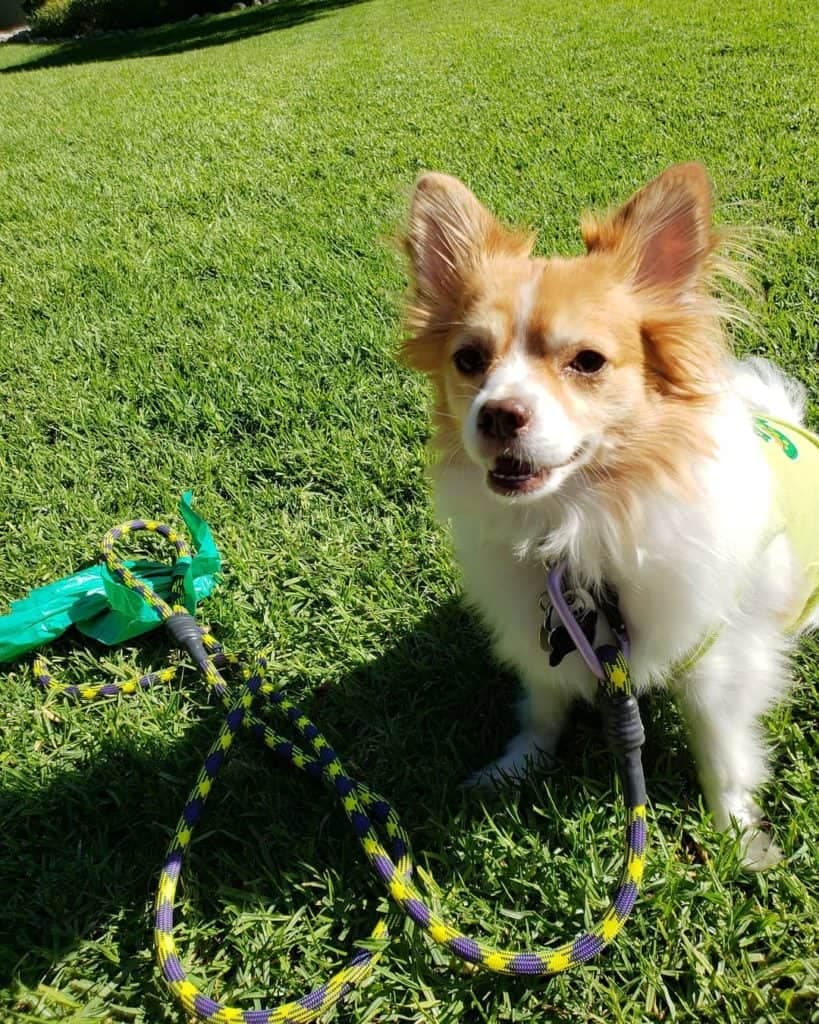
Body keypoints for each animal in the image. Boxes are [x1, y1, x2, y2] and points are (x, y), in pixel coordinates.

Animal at [401, 163, 818, 868]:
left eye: (588, 362)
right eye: (469, 361)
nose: (497, 413)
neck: (578, 521)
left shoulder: (719, 661)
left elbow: (721, 750)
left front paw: (737, 836)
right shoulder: (538, 638)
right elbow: (543, 706)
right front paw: (516, 766)